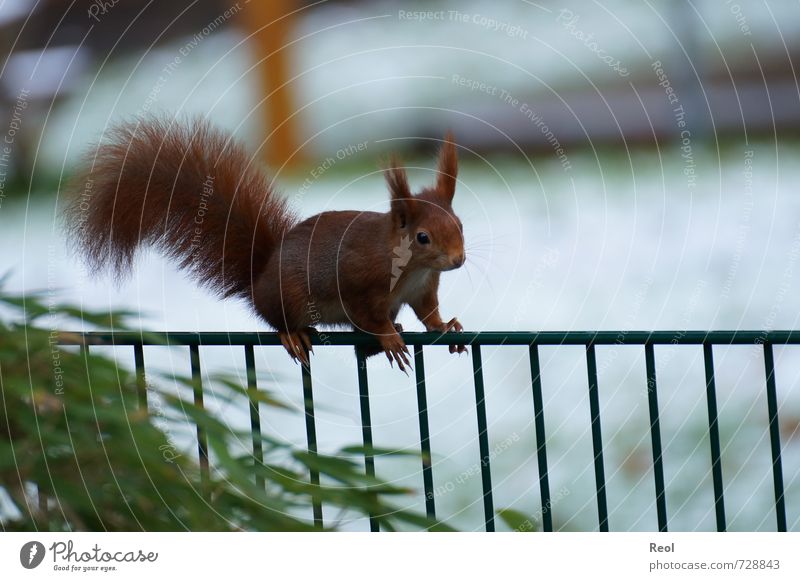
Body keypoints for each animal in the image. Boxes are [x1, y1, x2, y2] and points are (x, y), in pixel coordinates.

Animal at [65, 116, 466, 372]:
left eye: (460, 224)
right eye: (423, 237)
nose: (459, 260)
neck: (411, 268)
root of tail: (259, 277)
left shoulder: (422, 289)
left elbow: (428, 313)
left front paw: (446, 326)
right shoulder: (359, 282)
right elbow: (369, 315)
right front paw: (389, 338)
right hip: (287, 297)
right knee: (276, 319)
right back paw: (294, 335)